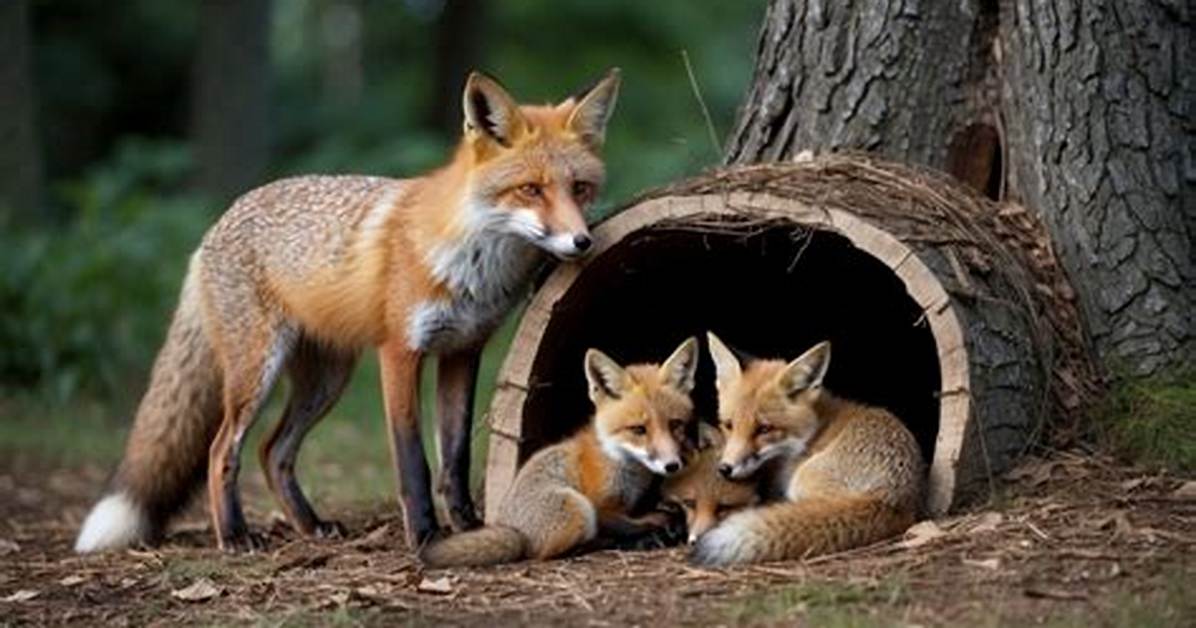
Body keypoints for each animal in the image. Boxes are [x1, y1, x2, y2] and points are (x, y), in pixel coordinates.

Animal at [73, 69, 621, 553]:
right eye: (530, 189)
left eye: (579, 189)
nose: (582, 242)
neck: (472, 266)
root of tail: (217, 223)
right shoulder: (400, 352)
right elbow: (414, 461)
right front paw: (425, 535)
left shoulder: (463, 351)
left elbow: (455, 458)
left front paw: (468, 528)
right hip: (258, 373)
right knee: (220, 451)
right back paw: (234, 535)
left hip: (326, 380)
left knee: (272, 451)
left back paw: (311, 526)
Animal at [419, 338, 699, 567]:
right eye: (638, 429)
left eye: (675, 425)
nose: (672, 465)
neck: (618, 459)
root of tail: (515, 531)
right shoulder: (601, 507)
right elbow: (631, 524)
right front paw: (657, 529)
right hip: (577, 508)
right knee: (553, 554)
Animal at [689, 332, 924, 566]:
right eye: (728, 425)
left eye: (764, 429)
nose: (725, 469)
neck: (813, 432)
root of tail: (887, 499)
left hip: (802, 481)